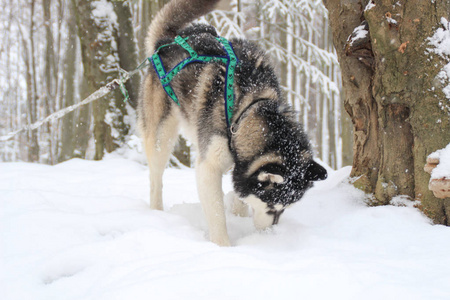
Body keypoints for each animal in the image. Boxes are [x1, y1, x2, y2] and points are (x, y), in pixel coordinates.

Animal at [138, 0, 326, 246]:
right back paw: (157, 212)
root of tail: (167, 41)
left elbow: (239, 192)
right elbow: (217, 215)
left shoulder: (239, 164)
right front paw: (224, 247)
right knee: (155, 178)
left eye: (285, 208)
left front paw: (238, 213)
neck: (247, 109)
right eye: (271, 207)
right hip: (162, 136)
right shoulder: (209, 167)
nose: (270, 234)